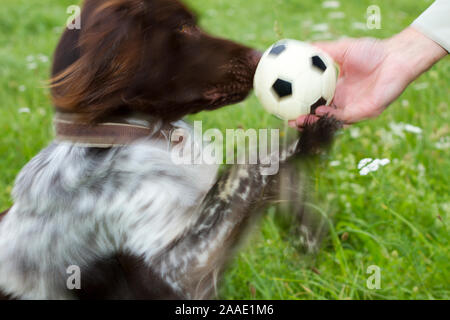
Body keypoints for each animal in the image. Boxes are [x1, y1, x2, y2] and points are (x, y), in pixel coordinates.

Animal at [0, 0, 338, 300]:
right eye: (185, 27)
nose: (259, 55)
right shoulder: (176, 273)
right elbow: (249, 165)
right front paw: (309, 138)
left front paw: (304, 227)